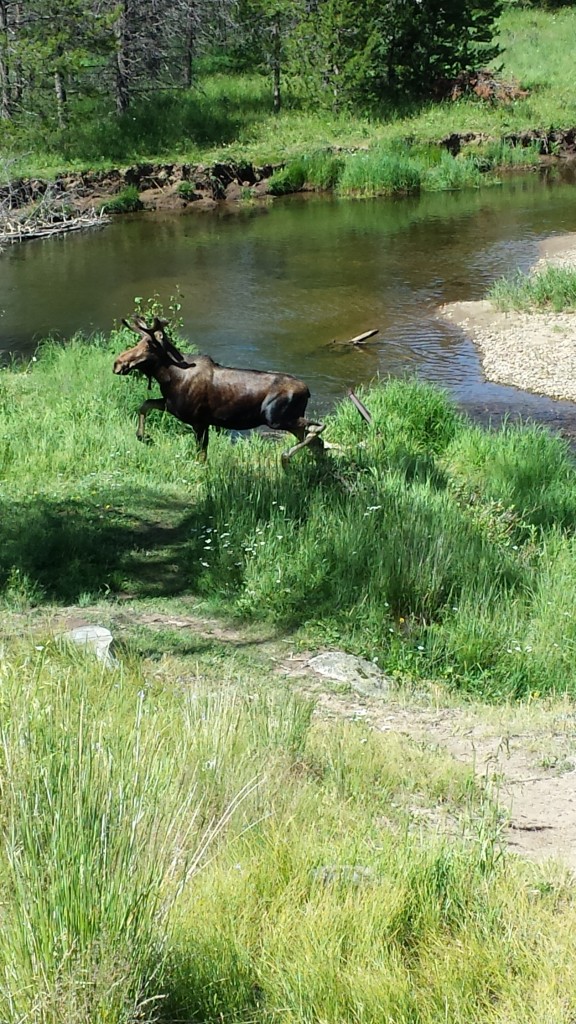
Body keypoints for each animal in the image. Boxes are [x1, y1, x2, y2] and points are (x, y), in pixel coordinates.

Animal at [114, 313, 325, 462]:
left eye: (149, 346)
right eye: (139, 342)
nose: (117, 363)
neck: (169, 377)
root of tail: (308, 392)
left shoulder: (199, 421)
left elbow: (201, 455)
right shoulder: (172, 406)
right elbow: (145, 405)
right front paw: (144, 437)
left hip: (277, 418)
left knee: (318, 428)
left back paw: (286, 457)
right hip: (285, 420)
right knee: (317, 442)